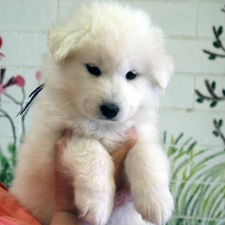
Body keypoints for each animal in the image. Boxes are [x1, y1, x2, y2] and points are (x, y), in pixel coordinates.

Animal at [11, 1, 174, 225]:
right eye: (93, 69)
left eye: (131, 75)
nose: (110, 109)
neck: (104, 127)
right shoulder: (56, 142)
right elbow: (91, 150)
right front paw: (97, 204)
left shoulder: (140, 132)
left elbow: (145, 155)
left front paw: (157, 203)